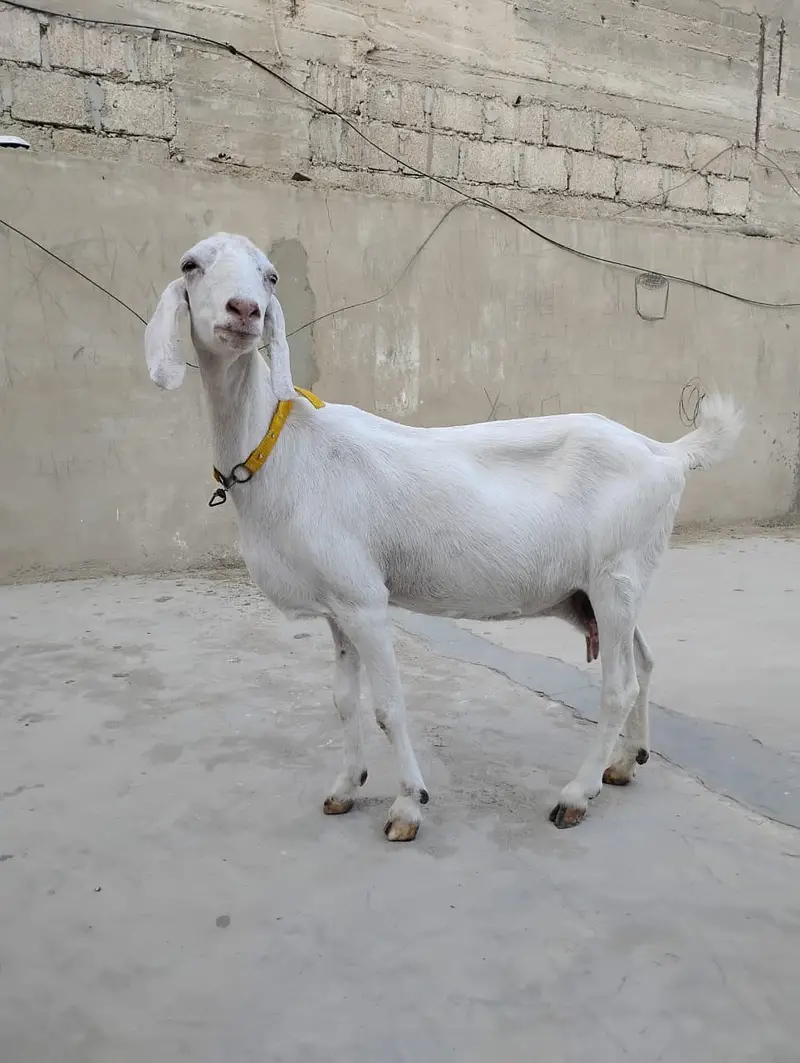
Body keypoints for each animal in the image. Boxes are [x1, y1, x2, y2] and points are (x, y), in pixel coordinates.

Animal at [145, 232, 743, 841]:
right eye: (191, 265)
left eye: (269, 276)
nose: (244, 311)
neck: (282, 447)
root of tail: (667, 453)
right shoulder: (336, 603)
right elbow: (344, 700)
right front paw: (345, 787)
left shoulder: (365, 600)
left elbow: (388, 706)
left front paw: (408, 804)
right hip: (606, 589)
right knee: (643, 662)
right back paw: (623, 764)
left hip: (615, 576)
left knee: (619, 686)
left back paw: (577, 794)